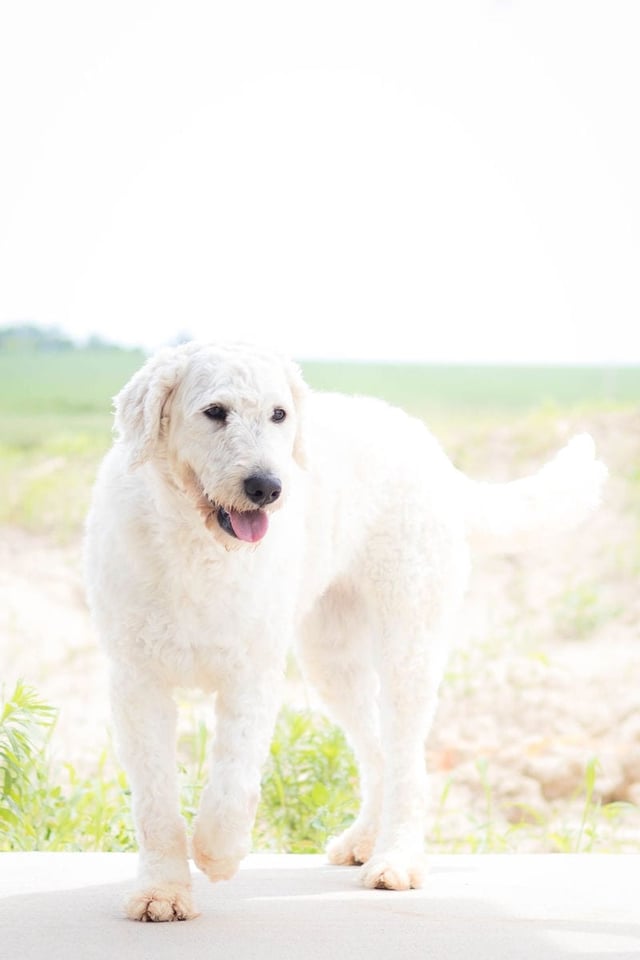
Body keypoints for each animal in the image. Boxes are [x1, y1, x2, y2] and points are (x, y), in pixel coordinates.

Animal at [84, 344, 604, 924]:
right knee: (377, 755)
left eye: (279, 414)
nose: (267, 488)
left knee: (406, 764)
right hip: (333, 660)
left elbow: (232, 781)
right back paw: (364, 840)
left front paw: (219, 852)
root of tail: (428, 448)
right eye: (214, 412)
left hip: (407, 644)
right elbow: (154, 802)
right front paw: (163, 890)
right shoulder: (137, 683)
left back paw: (395, 860)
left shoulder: (252, 674)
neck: (195, 545)